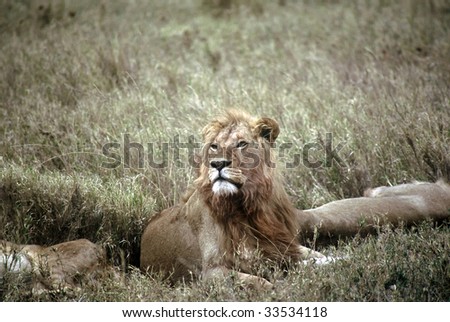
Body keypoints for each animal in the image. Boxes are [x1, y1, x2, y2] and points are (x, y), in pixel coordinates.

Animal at [141, 110, 450, 286]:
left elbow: (318, 257)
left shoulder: (282, 247)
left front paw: (344, 261)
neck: (246, 207)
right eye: (214, 146)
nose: (217, 163)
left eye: (241, 144)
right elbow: (260, 284)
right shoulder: (208, 272)